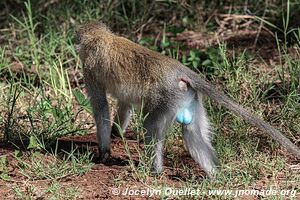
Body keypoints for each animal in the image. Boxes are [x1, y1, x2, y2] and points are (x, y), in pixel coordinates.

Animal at [74, 21, 300, 177]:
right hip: (186, 96)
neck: (100, 37)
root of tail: (177, 69)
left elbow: (101, 108)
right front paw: (116, 133)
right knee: (192, 133)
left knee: (151, 126)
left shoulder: (90, 68)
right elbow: (125, 104)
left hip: (166, 97)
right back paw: (215, 176)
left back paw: (155, 171)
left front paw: (104, 152)